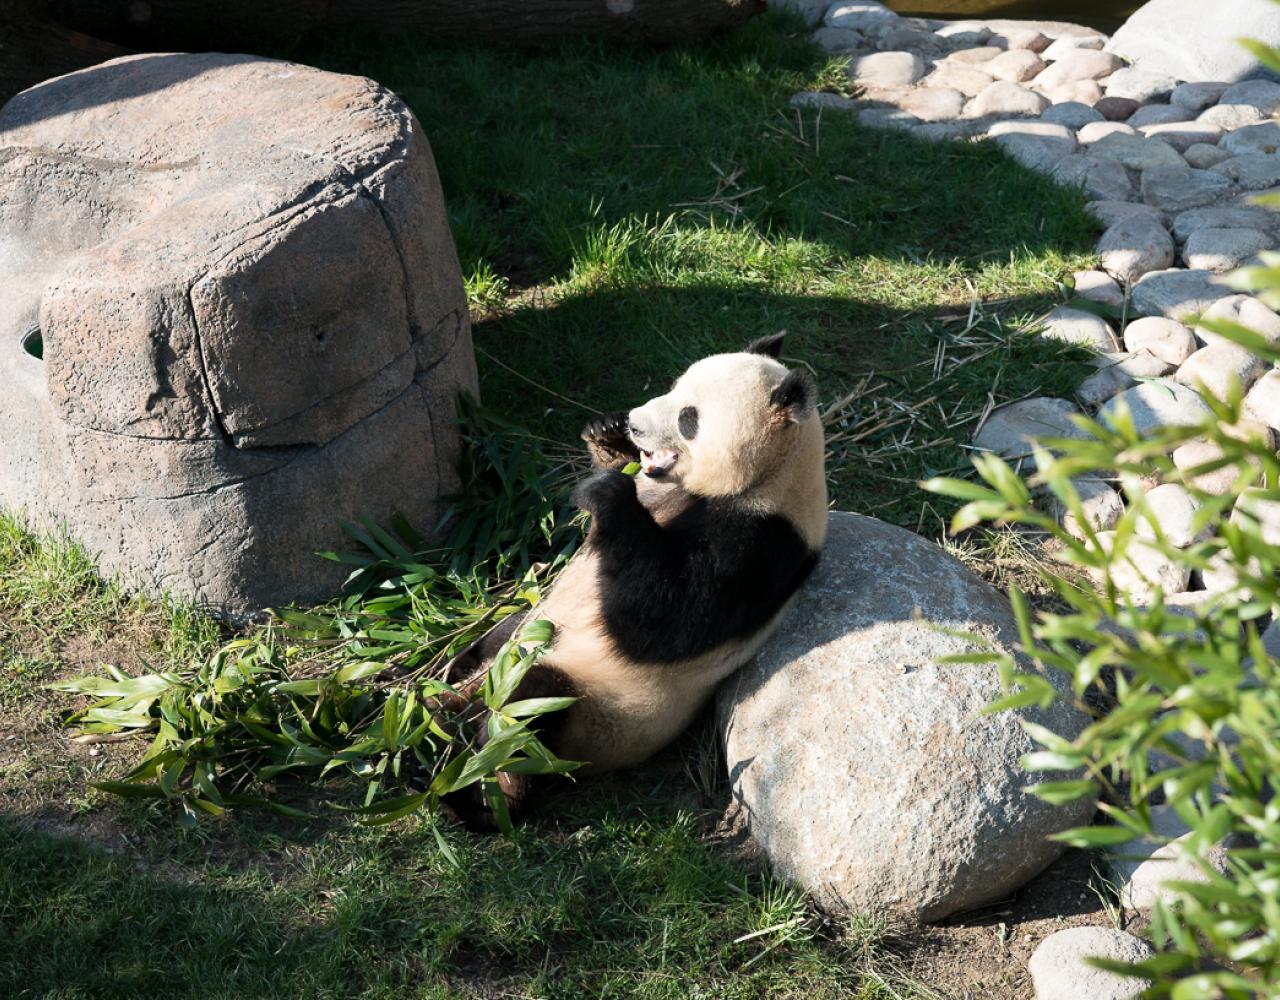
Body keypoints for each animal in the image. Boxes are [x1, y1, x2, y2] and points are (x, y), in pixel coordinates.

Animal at [445, 330, 829, 824]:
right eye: (674, 385)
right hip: (529, 630)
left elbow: (663, 616)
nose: (633, 422)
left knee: (522, 719)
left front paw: (607, 492)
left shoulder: (763, 543)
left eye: (689, 417)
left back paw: (477, 796)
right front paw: (606, 436)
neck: (772, 472)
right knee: (493, 643)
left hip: (595, 716)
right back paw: (441, 694)